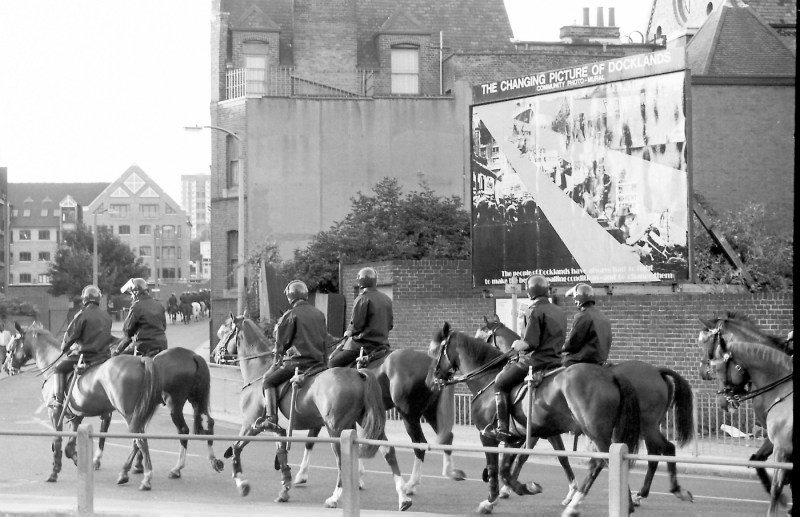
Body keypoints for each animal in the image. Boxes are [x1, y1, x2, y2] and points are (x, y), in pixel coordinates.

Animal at [3, 320, 162, 490]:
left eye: (10, 349)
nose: (6, 368)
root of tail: (141, 360)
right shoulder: (76, 417)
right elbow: (69, 446)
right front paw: (82, 462)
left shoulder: (54, 413)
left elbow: (57, 442)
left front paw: (55, 472)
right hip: (137, 416)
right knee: (137, 442)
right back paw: (126, 472)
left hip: (129, 414)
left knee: (140, 441)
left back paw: (146, 477)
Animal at [212, 316, 466, 494]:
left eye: (223, 332)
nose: (215, 354)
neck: (262, 370)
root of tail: (430, 363)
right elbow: (313, 442)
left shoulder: (256, 422)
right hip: (427, 412)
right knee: (446, 437)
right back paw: (450, 472)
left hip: (409, 415)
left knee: (420, 445)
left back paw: (411, 484)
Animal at [428, 320, 640, 512]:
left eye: (435, 351)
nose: (430, 380)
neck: (488, 378)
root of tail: (610, 375)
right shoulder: (521, 437)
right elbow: (509, 468)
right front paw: (519, 489)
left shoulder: (488, 436)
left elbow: (495, 467)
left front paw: (494, 499)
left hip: (595, 430)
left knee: (601, 461)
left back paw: (587, 503)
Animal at [478, 314, 696, 504]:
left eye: (481, 334)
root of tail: (657, 371)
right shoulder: (541, 431)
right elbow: (536, 456)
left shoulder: (539, 431)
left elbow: (528, 456)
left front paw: (509, 488)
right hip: (647, 425)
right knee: (656, 453)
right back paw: (645, 493)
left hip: (643, 425)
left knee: (659, 451)